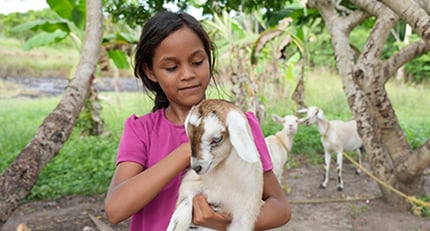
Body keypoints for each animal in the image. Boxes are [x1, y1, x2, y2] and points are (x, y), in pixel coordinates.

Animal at [167, 99, 262, 231]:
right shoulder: (191, 185)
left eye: (217, 139)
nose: (196, 167)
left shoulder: (244, 215)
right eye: (189, 137)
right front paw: (176, 224)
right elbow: (184, 206)